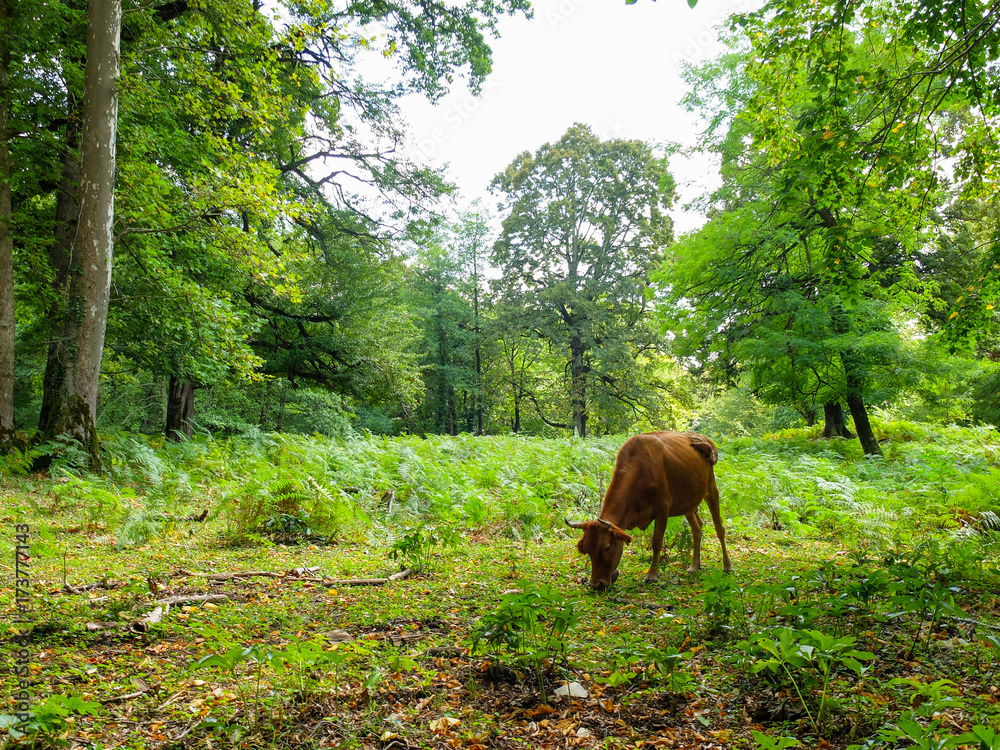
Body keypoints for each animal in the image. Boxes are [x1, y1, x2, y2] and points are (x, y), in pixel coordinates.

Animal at [568, 432, 732, 592]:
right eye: (587, 550)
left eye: (607, 548)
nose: (596, 584)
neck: (639, 470)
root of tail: (704, 439)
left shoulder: (662, 510)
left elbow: (656, 543)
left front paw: (653, 575)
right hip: (687, 503)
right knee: (697, 528)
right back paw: (694, 566)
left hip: (711, 489)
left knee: (719, 528)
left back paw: (727, 565)